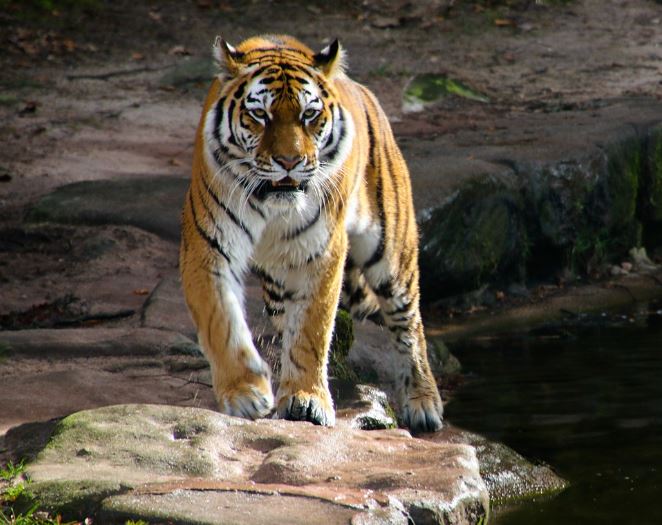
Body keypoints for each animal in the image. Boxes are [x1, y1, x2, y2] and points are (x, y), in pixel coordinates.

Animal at [179, 34, 444, 433]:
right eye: (260, 115)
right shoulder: (207, 247)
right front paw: (245, 392)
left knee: (408, 324)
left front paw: (306, 399)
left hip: (392, 253)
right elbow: (220, 322)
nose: (289, 162)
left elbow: (310, 330)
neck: (271, 204)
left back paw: (423, 403)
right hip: (277, 283)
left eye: (308, 115)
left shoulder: (320, 251)